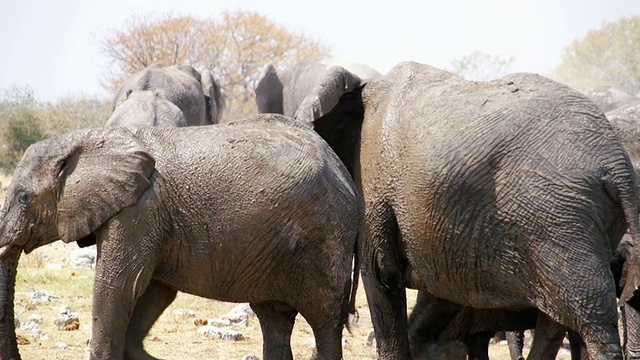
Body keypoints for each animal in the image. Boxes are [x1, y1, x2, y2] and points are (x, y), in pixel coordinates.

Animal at [0, 114, 360, 360]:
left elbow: (118, 286)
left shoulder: (138, 211)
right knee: (274, 319)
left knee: (324, 322)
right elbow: (153, 290)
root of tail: (342, 169)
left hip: (326, 238)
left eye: (23, 198)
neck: (91, 139)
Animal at [292, 60, 640, 358]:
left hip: (560, 220)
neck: (363, 88)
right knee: (558, 319)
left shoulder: (375, 181)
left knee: (589, 315)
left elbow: (381, 276)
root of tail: (617, 165)